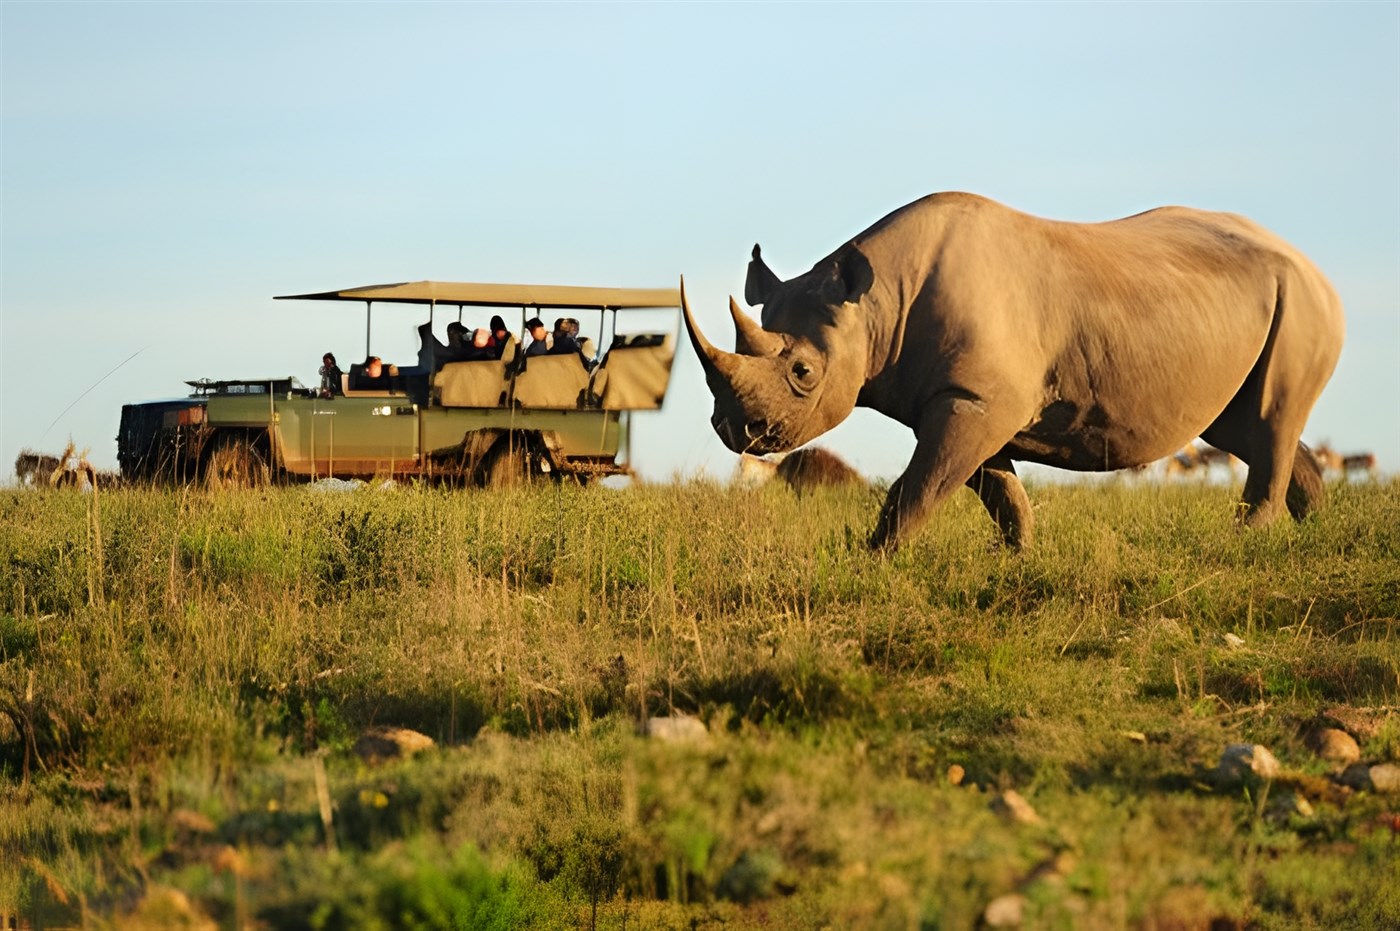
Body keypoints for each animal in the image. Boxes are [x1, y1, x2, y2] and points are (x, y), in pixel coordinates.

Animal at [683, 192, 1344, 551]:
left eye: (802, 371)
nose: (735, 431)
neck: (874, 306)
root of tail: (1313, 265)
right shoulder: (966, 397)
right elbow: (993, 487)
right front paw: (1020, 555)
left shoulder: (975, 400)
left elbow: (921, 484)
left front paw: (872, 560)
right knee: (1242, 426)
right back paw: (1313, 531)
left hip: (1302, 301)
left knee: (1268, 420)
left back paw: (1244, 541)